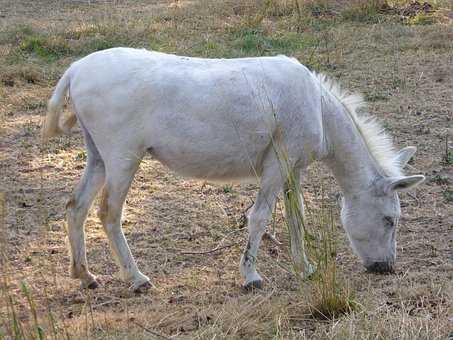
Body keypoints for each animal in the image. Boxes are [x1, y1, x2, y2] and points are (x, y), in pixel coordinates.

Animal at [42, 47, 424, 290]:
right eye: (390, 220)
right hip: (123, 157)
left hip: (99, 157)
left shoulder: (293, 169)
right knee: (108, 212)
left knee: (76, 207)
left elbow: (296, 216)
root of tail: (76, 69)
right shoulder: (277, 165)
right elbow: (259, 217)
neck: (316, 106)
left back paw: (85, 275)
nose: (385, 269)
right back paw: (136, 279)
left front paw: (304, 268)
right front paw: (250, 276)